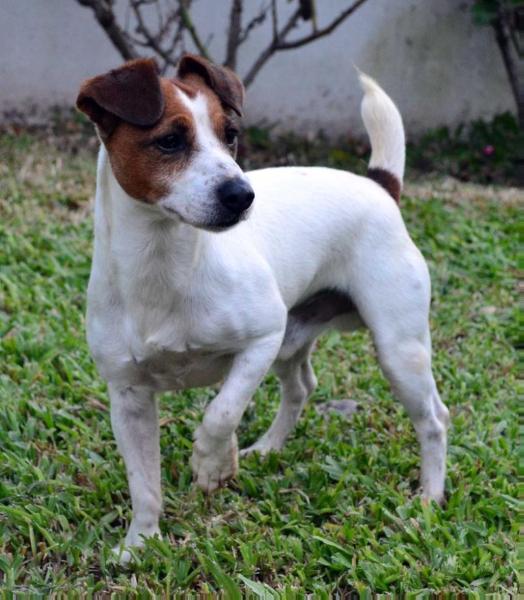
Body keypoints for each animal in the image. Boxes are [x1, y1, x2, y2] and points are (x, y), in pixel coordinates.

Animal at [77, 54, 450, 560]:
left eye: (230, 135)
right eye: (170, 140)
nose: (241, 194)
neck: (164, 268)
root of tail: (378, 185)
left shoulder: (261, 338)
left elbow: (221, 412)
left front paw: (213, 463)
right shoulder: (128, 396)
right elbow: (144, 483)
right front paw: (141, 544)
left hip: (396, 350)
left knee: (433, 419)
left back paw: (429, 497)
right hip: (294, 341)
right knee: (302, 387)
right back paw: (268, 448)